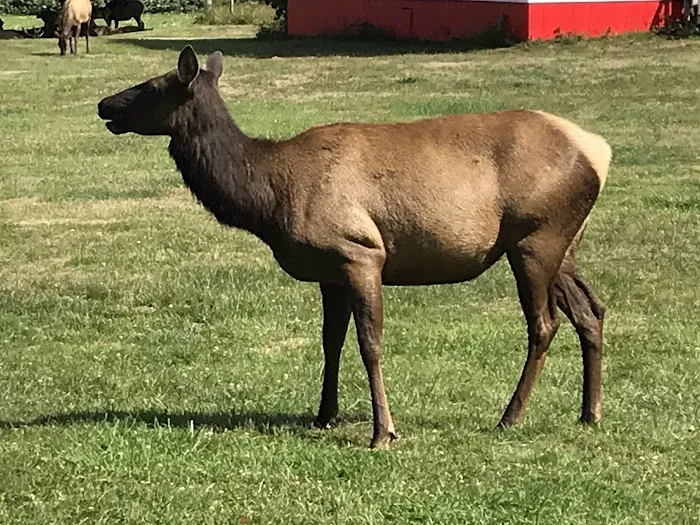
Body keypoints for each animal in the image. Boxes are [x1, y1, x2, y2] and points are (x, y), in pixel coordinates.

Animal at [97, 46, 612, 449]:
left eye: (152, 85)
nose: (104, 104)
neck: (269, 198)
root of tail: (599, 152)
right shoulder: (328, 271)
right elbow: (331, 341)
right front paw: (323, 415)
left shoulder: (360, 252)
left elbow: (370, 343)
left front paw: (383, 431)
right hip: (564, 244)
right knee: (591, 310)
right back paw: (590, 412)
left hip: (535, 238)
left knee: (544, 324)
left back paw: (511, 416)